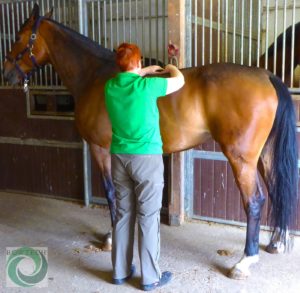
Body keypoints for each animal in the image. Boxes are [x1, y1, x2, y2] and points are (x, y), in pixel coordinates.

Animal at [2, 4, 298, 278]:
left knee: (255, 201)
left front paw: (112, 238)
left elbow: (112, 193)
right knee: (277, 190)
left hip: (242, 159)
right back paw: (276, 243)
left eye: (19, 36)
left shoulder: (101, 149)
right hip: (264, 155)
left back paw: (244, 261)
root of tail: (266, 75)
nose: (7, 74)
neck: (95, 76)